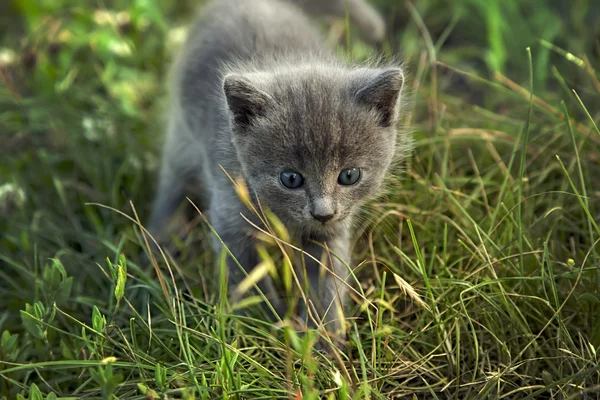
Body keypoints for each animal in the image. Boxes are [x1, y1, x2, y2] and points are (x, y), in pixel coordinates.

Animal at [149, 0, 410, 340]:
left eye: (350, 175)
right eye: (290, 179)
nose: (322, 213)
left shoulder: (332, 231)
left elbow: (327, 280)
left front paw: (323, 338)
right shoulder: (230, 209)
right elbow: (248, 279)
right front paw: (266, 329)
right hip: (182, 136)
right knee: (173, 181)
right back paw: (161, 237)